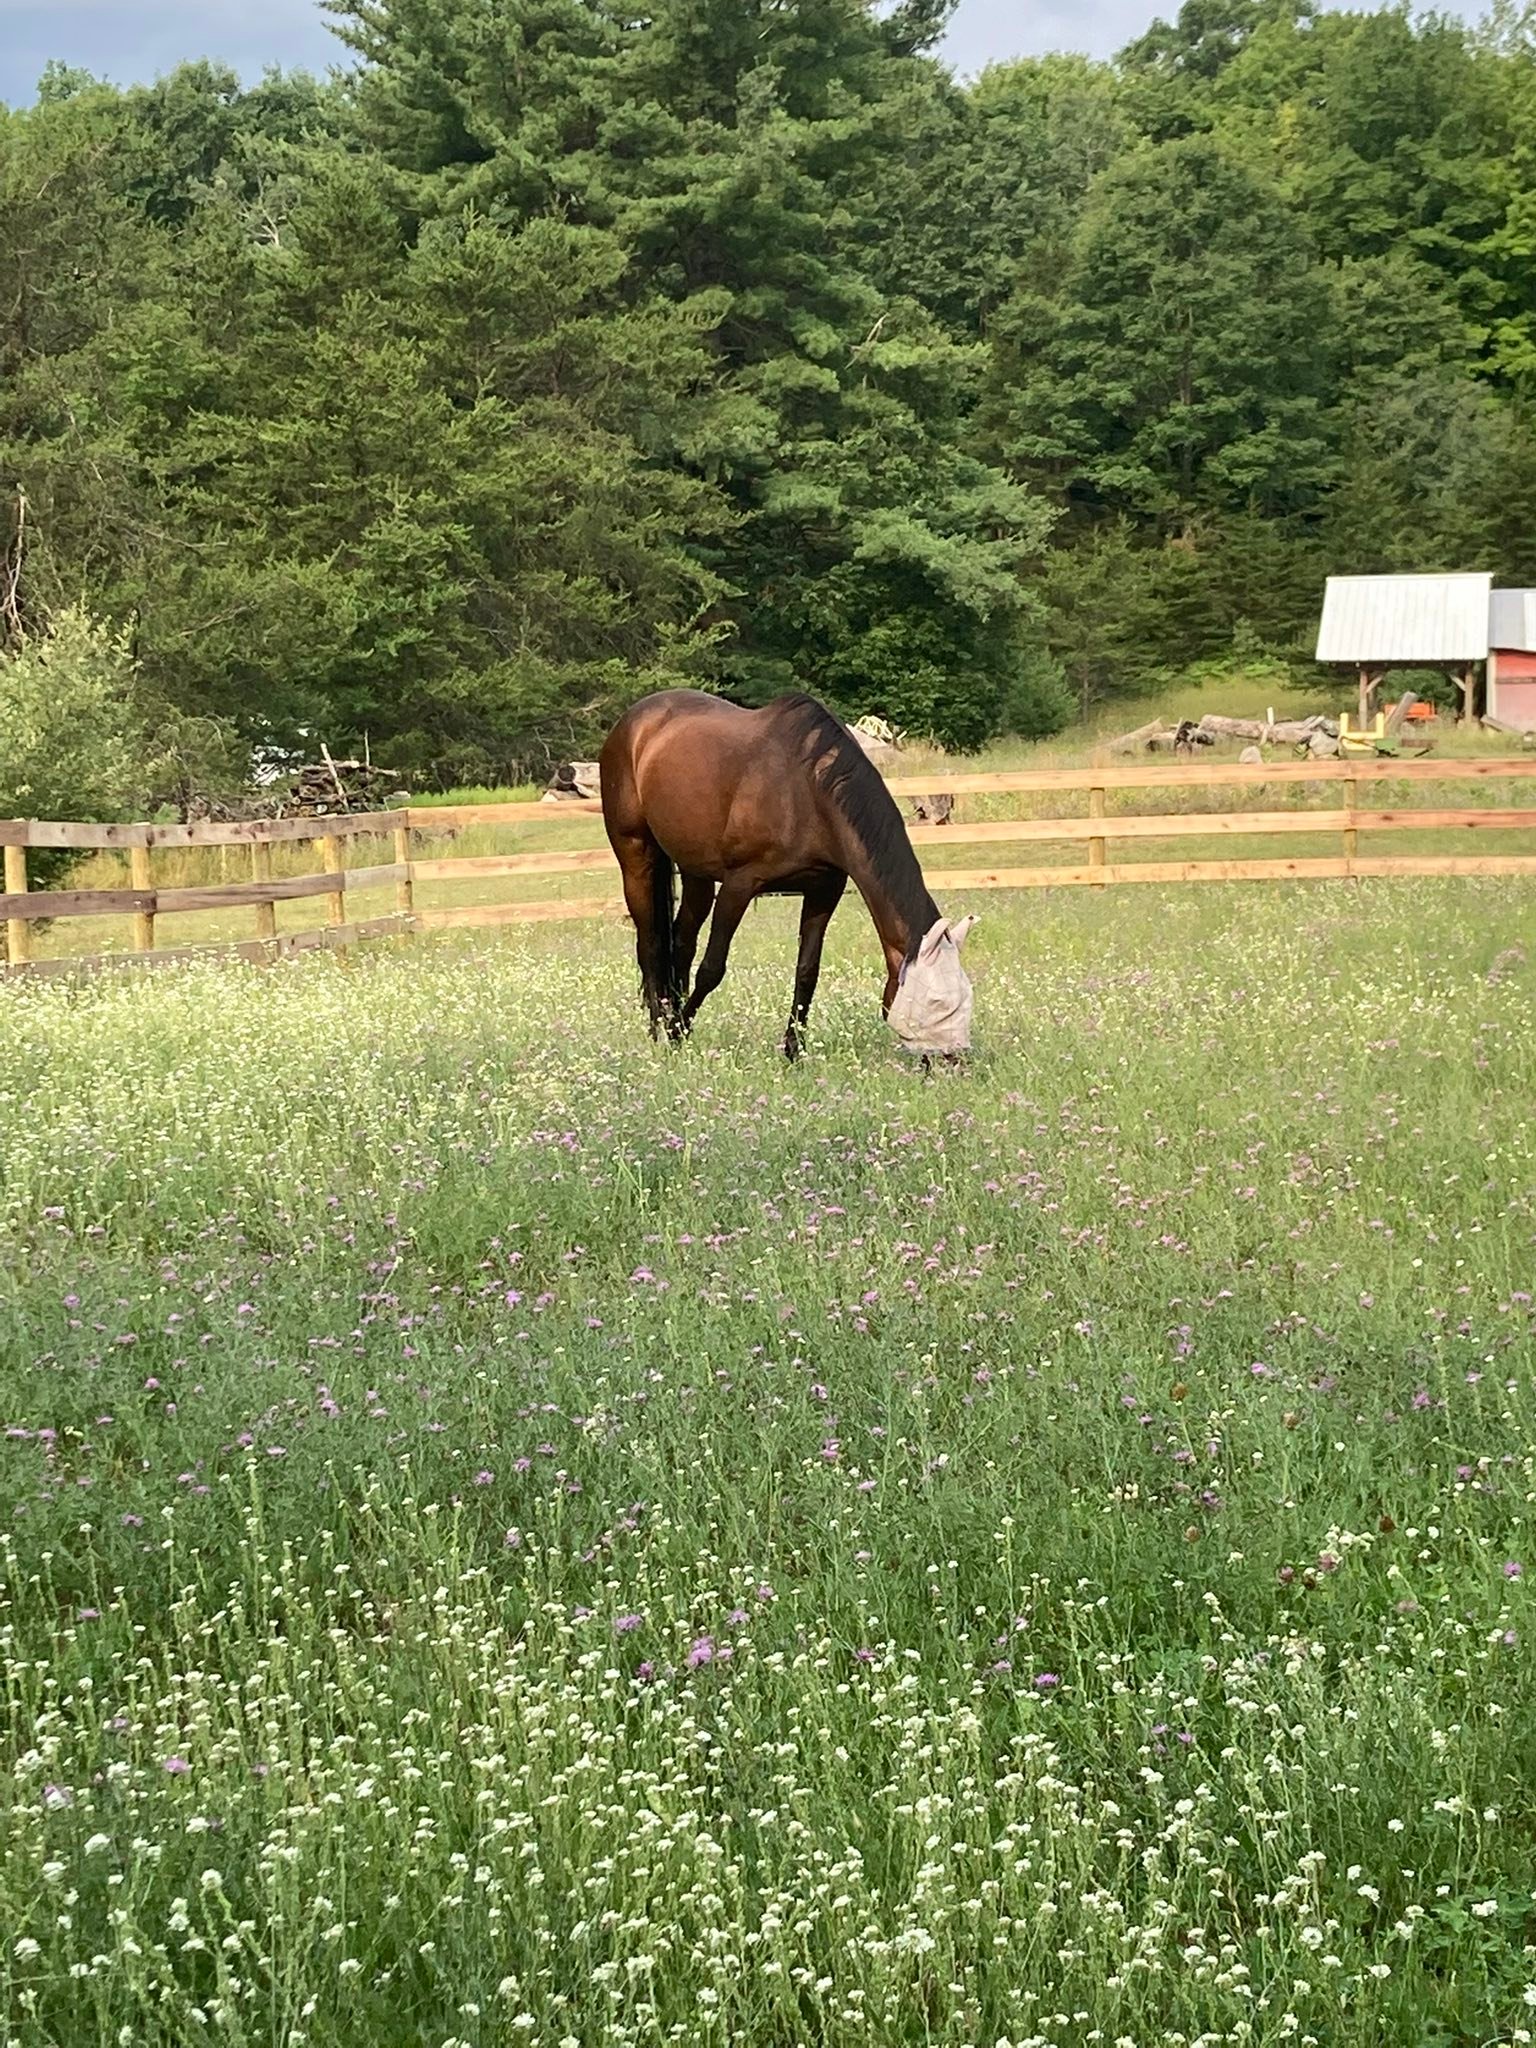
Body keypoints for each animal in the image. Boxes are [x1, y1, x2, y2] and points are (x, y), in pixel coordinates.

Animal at [598, 689, 976, 1060]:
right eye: (935, 1002)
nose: (954, 1059)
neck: (805, 789)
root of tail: (633, 720)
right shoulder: (739, 885)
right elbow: (712, 968)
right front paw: (679, 1031)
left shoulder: (824, 890)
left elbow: (807, 971)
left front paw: (794, 1050)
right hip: (636, 857)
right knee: (650, 944)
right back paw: (659, 1029)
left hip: (696, 873)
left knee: (680, 941)